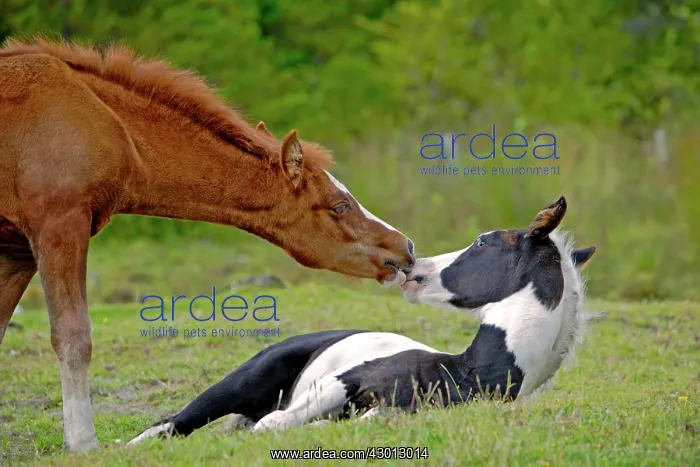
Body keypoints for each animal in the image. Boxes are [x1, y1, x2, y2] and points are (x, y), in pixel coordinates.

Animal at [0, 37, 415, 452]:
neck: (99, 117)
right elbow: (73, 336)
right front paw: (83, 443)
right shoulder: (59, 224)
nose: (406, 247)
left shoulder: (16, 253)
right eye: (339, 205)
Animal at [127, 196, 596, 444]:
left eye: (482, 242)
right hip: (242, 381)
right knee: (174, 423)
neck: (459, 374)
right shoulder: (342, 382)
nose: (412, 266)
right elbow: (275, 424)